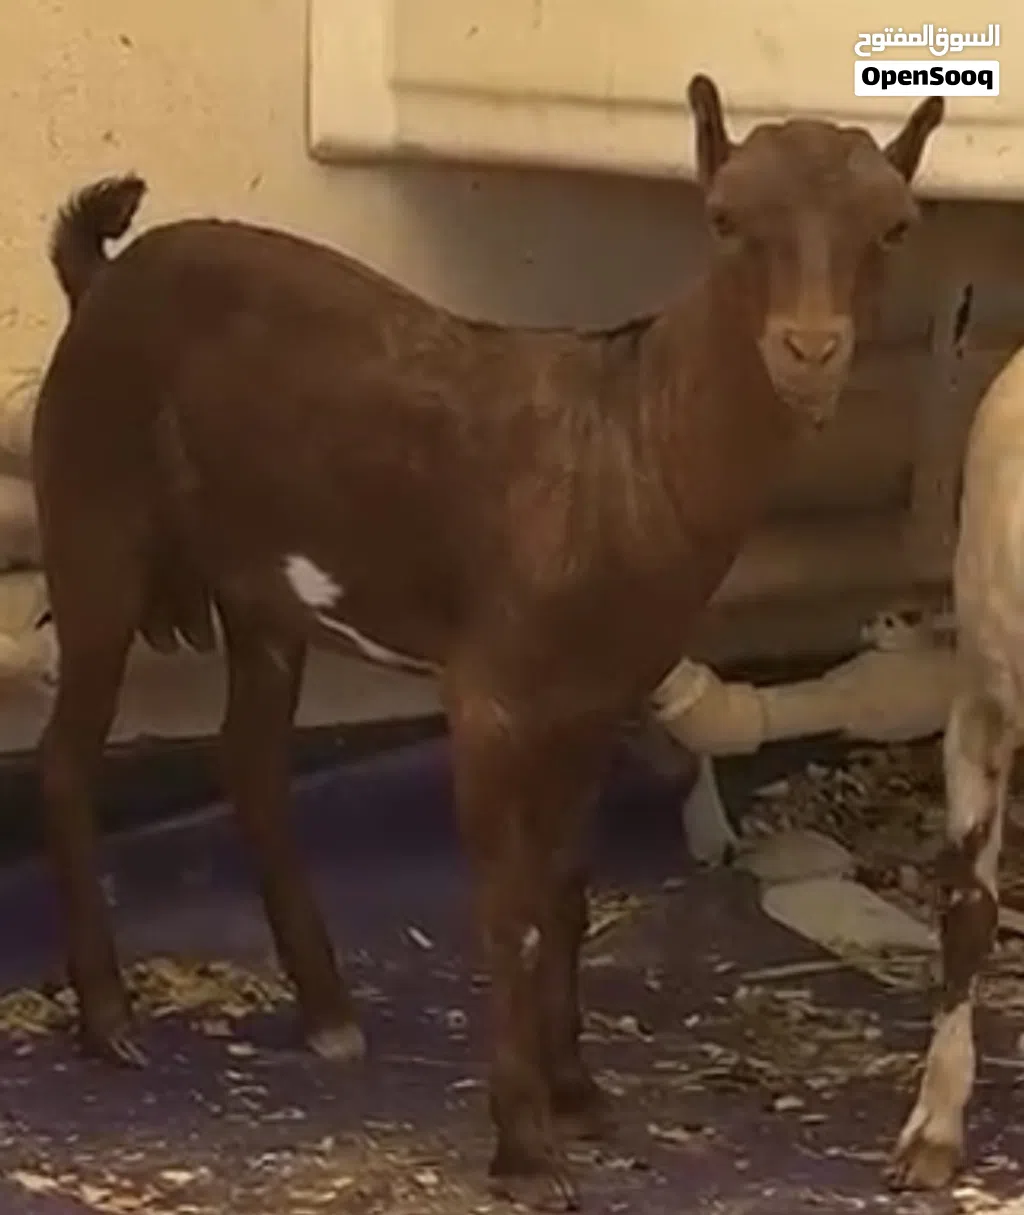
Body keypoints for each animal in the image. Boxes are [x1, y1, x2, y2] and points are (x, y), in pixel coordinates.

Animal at [32, 76, 942, 1210]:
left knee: (250, 757)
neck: (626, 442)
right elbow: (506, 903)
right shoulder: (492, 695)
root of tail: (99, 278)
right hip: (91, 512)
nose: (810, 351)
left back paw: (327, 1011)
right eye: (725, 218)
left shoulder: (602, 693)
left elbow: (564, 887)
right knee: (69, 755)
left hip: (257, 585)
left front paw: (576, 1093)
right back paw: (110, 1020)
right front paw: (525, 1147)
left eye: (894, 227)